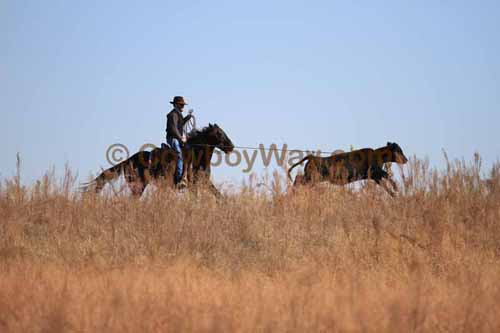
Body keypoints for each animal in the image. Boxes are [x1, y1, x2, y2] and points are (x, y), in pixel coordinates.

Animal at [80, 124, 234, 197]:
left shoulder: (205, 182)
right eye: (219, 133)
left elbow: (218, 195)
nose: (231, 146)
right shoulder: (193, 185)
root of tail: (129, 160)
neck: (197, 156)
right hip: (138, 185)